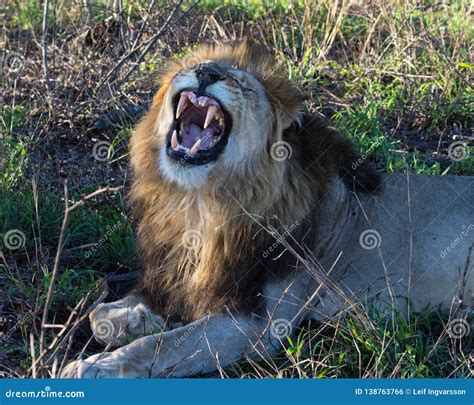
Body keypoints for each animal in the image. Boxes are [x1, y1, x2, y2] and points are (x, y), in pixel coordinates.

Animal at [62, 40, 470, 376]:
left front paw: (96, 366)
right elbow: (100, 313)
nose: (206, 73)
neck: (200, 201)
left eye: (242, 84)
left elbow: (165, 346)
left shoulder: (257, 322)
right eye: (193, 68)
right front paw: (131, 318)